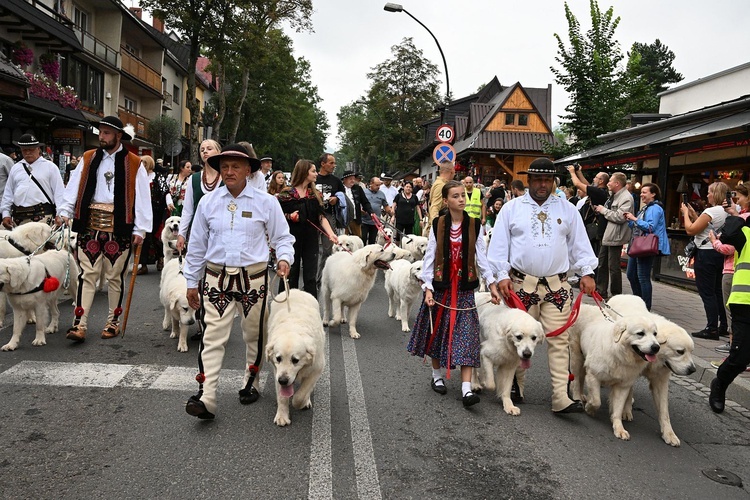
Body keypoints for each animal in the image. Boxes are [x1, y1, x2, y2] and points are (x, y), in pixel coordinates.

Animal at [268, 292, 326, 428]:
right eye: (278, 358)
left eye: (295, 360)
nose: (283, 380)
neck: (292, 327)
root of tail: (295, 290)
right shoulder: (277, 371)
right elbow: (282, 397)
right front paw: (282, 416)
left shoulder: (317, 368)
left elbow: (301, 395)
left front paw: (300, 402)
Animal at [572, 312, 660, 442]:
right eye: (640, 333)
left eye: (655, 334)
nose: (656, 347)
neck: (619, 354)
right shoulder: (593, 375)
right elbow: (596, 401)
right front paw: (589, 408)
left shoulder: (623, 386)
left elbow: (618, 409)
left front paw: (619, 429)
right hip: (576, 355)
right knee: (576, 379)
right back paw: (578, 396)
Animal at [608, 292, 696, 446]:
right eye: (680, 351)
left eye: (691, 352)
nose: (692, 369)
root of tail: (622, 294)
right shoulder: (630, 369)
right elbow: (627, 390)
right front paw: (625, 410)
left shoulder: (660, 380)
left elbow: (664, 411)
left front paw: (669, 434)